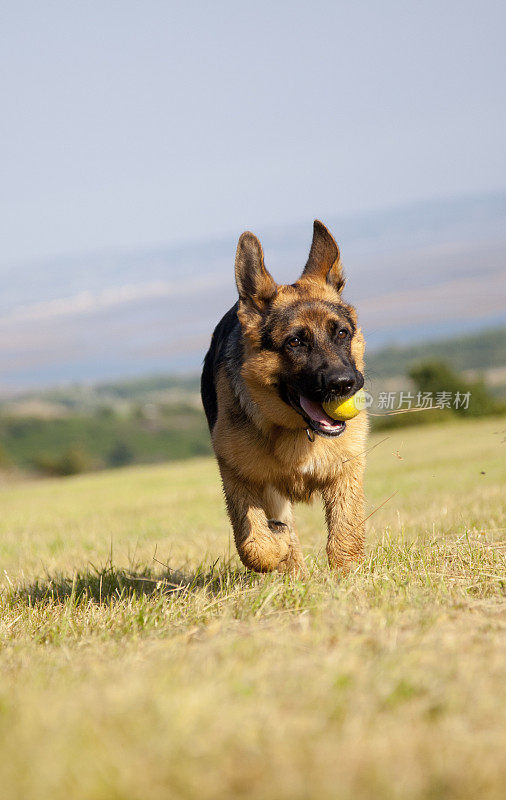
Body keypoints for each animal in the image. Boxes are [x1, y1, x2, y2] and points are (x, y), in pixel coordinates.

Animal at [202, 222, 368, 580]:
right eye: (295, 342)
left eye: (342, 333)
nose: (344, 384)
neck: (296, 431)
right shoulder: (239, 478)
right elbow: (255, 544)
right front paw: (277, 544)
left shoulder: (346, 472)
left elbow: (345, 532)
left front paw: (349, 576)